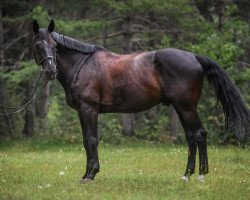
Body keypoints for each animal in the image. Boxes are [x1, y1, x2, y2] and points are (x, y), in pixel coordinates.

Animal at [32, 20, 250, 183]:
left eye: (54, 46)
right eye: (38, 45)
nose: (50, 71)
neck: (82, 65)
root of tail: (194, 57)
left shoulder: (89, 109)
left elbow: (92, 140)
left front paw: (91, 175)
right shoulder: (81, 111)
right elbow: (87, 141)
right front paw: (87, 173)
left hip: (187, 107)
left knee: (200, 134)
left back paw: (201, 176)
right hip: (180, 108)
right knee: (191, 137)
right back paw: (186, 175)